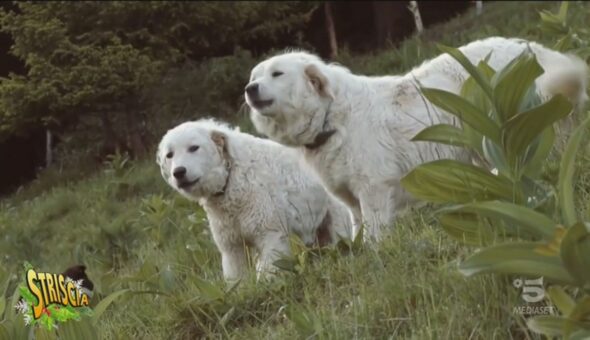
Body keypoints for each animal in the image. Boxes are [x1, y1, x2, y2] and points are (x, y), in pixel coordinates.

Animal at [155, 119, 354, 282]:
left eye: (194, 148)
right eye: (169, 155)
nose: (178, 172)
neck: (231, 177)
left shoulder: (270, 234)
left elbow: (267, 273)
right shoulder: (231, 246)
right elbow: (235, 279)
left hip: (338, 220)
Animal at [244, 36, 588, 242]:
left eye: (277, 74)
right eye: (253, 77)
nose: (249, 89)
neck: (331, 117)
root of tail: (534, 50)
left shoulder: (374, 190)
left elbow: (374, 236)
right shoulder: (351, 200)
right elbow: (357, 230)